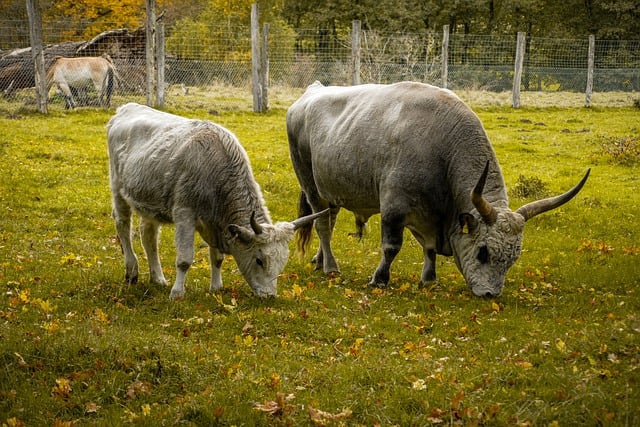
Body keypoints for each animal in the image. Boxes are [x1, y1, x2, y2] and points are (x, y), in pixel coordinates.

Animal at [107, 102, 324, 300]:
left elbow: (217, 257)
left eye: (282, 262)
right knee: (123, 226)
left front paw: (216, 287)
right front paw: (177, 293)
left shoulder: (216, 223)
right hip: (118, 190)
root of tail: (126, 109)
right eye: (259, 260)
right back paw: (132, 271)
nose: (270, 295)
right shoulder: (185, 214)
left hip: (149, 202)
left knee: (148, 236)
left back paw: (158, 278)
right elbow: (184, 259)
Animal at [288, 83, 592, 298]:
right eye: (483, 252)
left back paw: (319, 260)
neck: (442, 145)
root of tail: (311, 92)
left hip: (330, 193)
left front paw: (429, 279)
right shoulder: (394, 206)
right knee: (323, 226)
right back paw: (331, 267)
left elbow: (430, 248)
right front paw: (379, 279)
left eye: (512, 258)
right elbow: (391, 247)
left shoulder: (431, 216)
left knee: (328, 220)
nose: (490, 294)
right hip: (310, 185)